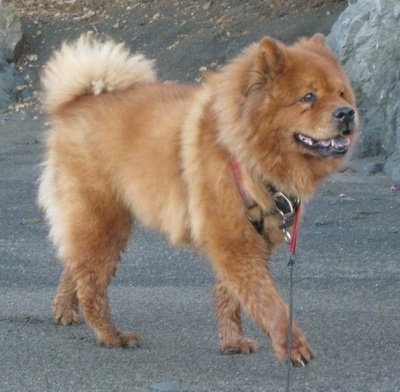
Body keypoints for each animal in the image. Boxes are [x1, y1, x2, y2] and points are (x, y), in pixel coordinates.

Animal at [37, 32, 358, 366]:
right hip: (105, 220)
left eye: (342, 94)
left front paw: (232, 341)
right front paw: (292, 346)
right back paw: (111, 335)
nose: (347, 112)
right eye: (308, 97)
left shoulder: (249, 242)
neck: (244, 157)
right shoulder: (234, 244)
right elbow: (269, 302)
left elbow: (231, 297)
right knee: (91, 282)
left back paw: (65, 310)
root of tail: (78, 101)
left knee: (75, 262)